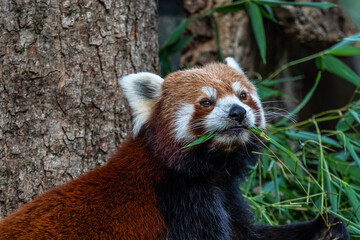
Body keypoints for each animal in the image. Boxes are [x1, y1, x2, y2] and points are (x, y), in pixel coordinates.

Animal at [0, 58, 348, 240]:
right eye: (206, 102)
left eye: (243, 95)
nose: (238, 112)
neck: (209, 170)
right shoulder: (179, 202)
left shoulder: (225, 195)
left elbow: (249, 233)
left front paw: (326, 227)